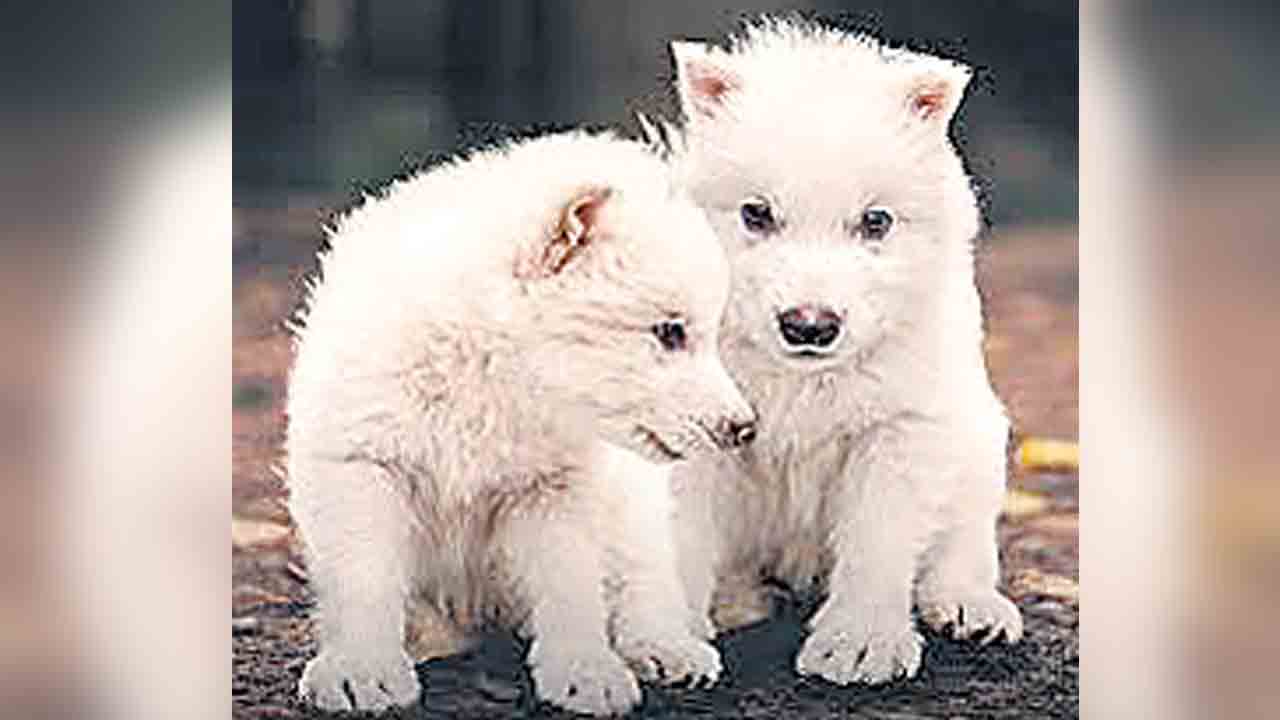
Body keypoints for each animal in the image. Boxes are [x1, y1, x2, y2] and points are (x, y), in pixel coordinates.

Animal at [286, 131, 756, 715]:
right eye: (670, 332)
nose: (744, 427)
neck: (492, 374)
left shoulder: (557, 487)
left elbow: (570, 583)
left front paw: (584, 669)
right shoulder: (363, 465)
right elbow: (363, 575)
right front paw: (361, 667)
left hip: (631, 502)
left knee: (646, 572)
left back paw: (665, 647)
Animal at [653, 19, 1024, 686]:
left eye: (875, 221)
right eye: (756, 213)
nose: (809, 326)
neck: (800, 379)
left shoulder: (902, 429)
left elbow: (880, 541)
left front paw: (860, 642)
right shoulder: (691, 437)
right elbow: (680, 541)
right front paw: (670, 642)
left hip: (978, 436)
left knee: (964, 538)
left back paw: (971, 605)